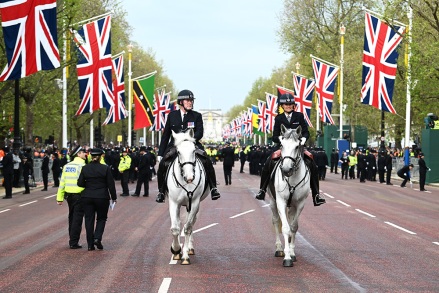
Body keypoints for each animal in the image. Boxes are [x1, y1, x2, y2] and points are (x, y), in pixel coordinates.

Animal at [168, 129, 210, 264]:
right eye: (178, 152)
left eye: (193, 151)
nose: (190, 177)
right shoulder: (174, 202)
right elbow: (175, 228)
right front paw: (176, 250)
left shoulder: (194, 203)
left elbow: (187, 228)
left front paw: (185, 255)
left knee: (191, 224)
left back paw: (190, 248)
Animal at [266, 124, 312, 266]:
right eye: (281, 145)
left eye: (297, 146)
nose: (286, 170)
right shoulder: (280, 201)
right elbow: (285, 228)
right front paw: (286, 257)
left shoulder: (300, 203)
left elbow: (294, 227)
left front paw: (291, 253)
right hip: (272, 201)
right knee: (276, 221)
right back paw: (279, 249)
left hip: (292, 206)